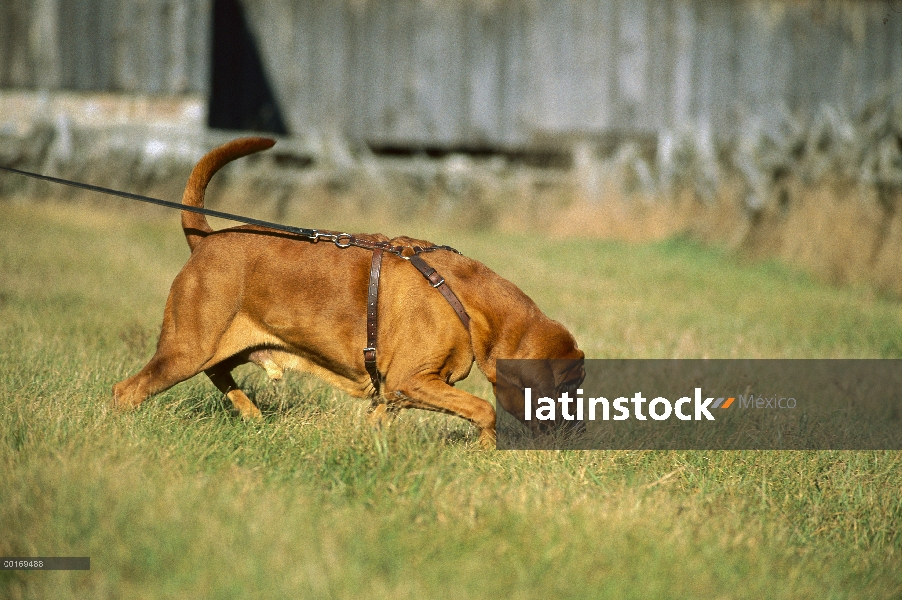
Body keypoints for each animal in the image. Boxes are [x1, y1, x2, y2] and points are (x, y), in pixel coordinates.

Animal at [113, 137, 588, 446]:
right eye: (568, 388)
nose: (581, 432)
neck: (468, 302)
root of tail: (207, 239)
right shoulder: (412, 379)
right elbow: (484, 410)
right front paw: (486, 452)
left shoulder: (396, 393)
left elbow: (380, 419)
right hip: (186, 348)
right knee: (129, 391)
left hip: (214, 347)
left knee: (218, 374)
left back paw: (251, 414)